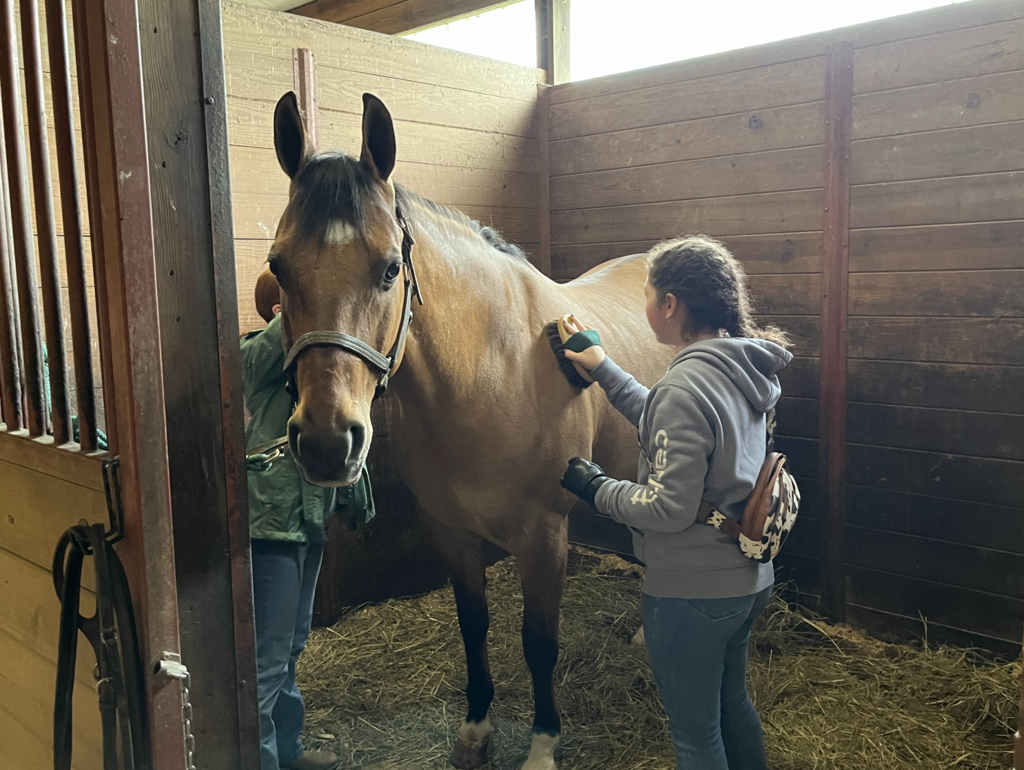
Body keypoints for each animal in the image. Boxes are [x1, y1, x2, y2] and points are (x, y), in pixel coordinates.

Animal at [269, 90, 672, 770]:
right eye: (278, 266)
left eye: (389, 269)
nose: (327, 441)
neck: (489, 373)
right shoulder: (450, 533)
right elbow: (473, 625)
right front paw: (477, 730)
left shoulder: (544, 537)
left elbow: (539, 642)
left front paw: (541, 746)